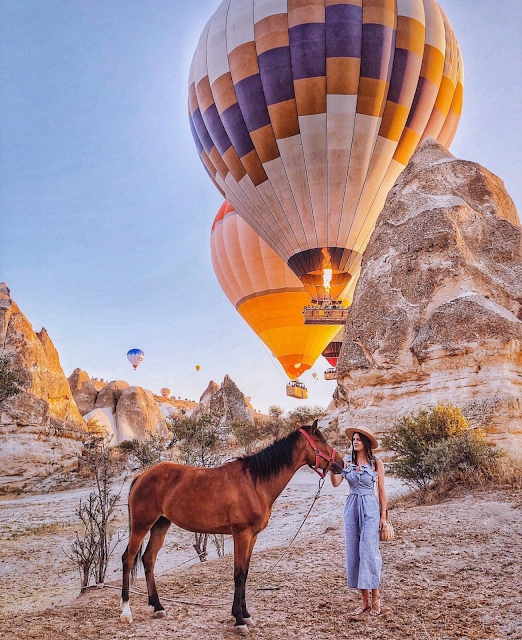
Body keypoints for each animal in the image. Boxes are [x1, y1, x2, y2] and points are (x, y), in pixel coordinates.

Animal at [120, 420, 344, 636]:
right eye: (323, 440)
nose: (341, 463)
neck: (254, 483)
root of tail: (142, 476)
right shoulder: (241, 535)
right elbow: (238, 575)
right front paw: (239, 620)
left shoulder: (252, 537)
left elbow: (245, 573)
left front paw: (246, 615)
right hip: (141, 525)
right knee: (128, 559)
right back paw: (126, 612)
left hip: (160, 525)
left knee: (148, 559)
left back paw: (158, 607)